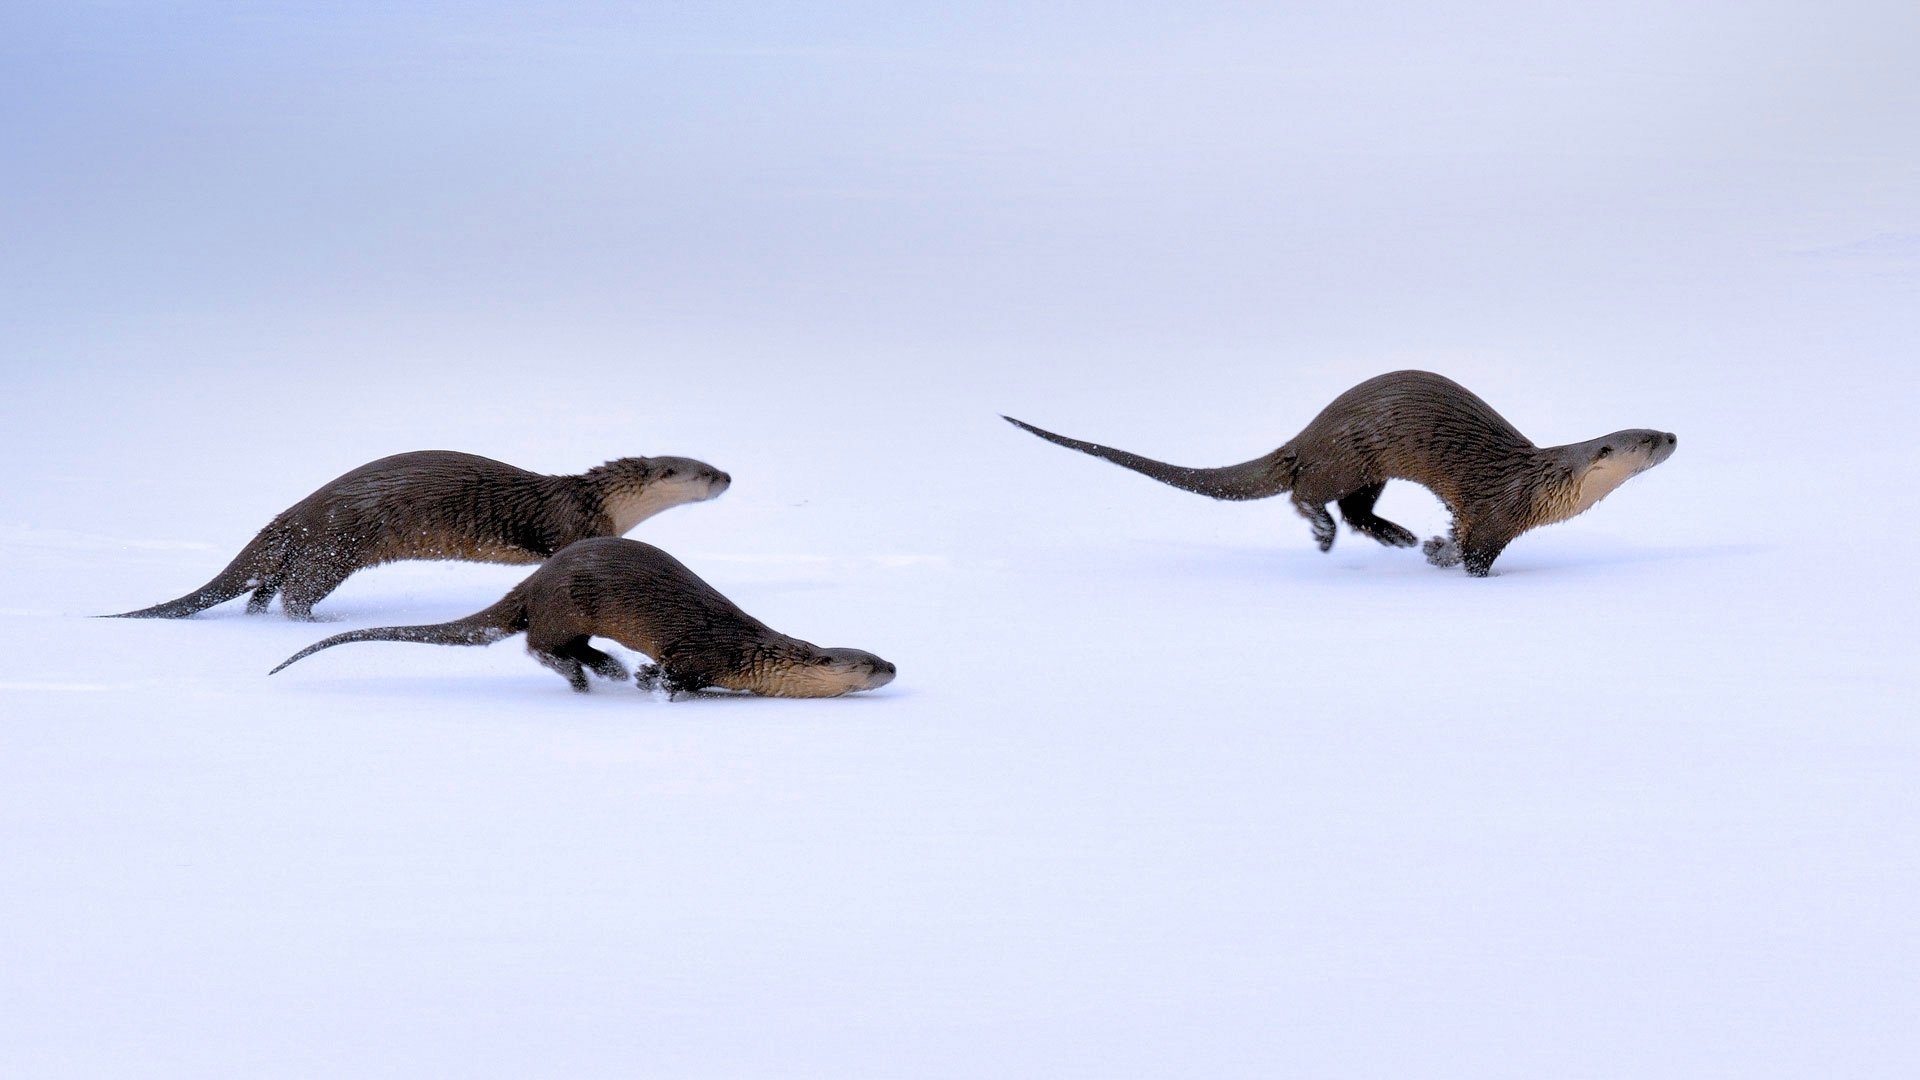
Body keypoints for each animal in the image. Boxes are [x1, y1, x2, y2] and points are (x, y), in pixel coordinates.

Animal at [109, 451, 731, 620]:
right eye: (703, 471)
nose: (729, 477)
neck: (597, 500)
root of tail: (295, 511)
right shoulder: (571, 527)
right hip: (334, 547)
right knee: (295, 593)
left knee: (265, 590)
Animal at [269, 537, 896, 698]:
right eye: (867, 663)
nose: (894, 667)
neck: (749, 653)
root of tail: (534, 581)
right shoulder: (701, 655)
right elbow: (678, 676)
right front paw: (651, 682)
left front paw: (640, 677)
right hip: (563, 605)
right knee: (540, 647)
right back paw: (595, 677)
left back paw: (607, 669)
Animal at [1005, 370, 1676, 576]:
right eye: (1645, 440)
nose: (1674, 435)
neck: (1541, 486)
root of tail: (1308, 431)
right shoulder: (1494, 515)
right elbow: (1473, 555)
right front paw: (1442, 558)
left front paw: (1429, 547)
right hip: (1344, 457)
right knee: (1307, 494)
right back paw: (1327, 535)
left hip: (1365, 469)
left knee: (1355, 509)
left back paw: (1397, 535)